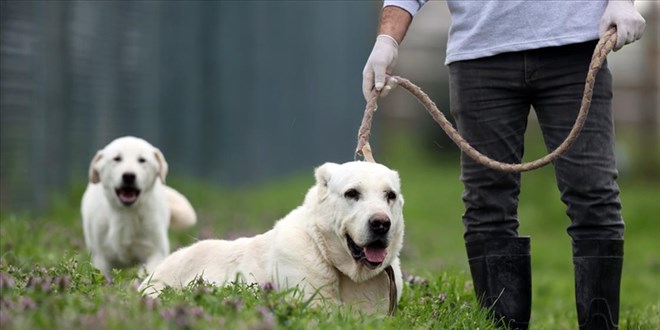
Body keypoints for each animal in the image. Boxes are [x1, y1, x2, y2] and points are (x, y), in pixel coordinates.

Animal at [81, 137, 197, 278]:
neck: (126, 215)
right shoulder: (101, 258)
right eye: (117, 159)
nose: (129, 176)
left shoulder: (155, 252)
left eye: (142, 160)